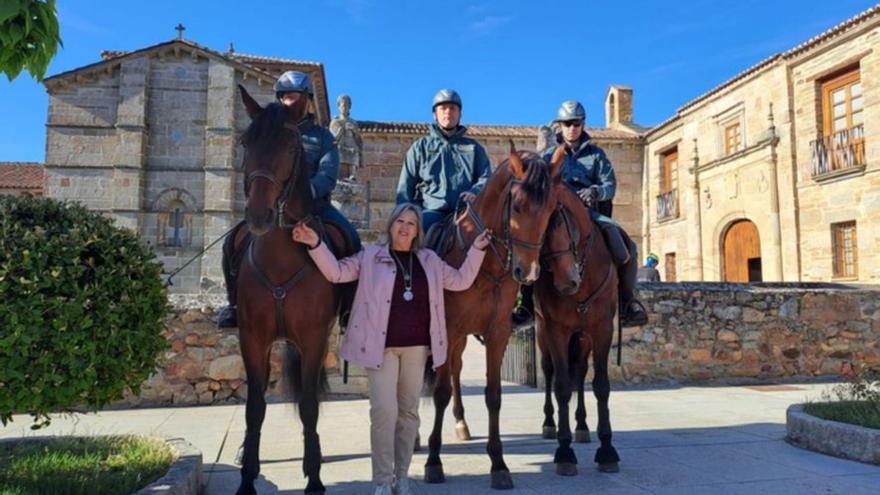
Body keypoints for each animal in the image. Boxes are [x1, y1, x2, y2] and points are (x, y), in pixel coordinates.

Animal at [234, 86, 350, 495]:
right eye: (245, 142)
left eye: (288, 145)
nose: (258, 216)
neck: (280, 258)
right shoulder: (252, 339)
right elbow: (254, 406)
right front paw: (247, 478)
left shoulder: (314, 339)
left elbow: (310, 406)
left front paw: (313, 476)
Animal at [424, 144, 564, 492]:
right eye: (518, 205)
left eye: (551, 209)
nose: (527, 272)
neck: (481, 263)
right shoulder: (447, 329)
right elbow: (440, 392)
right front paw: (433, 461)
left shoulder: (497, 332)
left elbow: (493, 395)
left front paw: (498, 464)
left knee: (457, 370)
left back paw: (461, 423)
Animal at [532, 185, 624, 476]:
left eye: (558, 222)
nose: (567, 282)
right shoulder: (556, 330)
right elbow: (561, 386)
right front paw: (564, 452)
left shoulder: (603, 329)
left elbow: (601, 385)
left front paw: (607, 450)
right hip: (543, 333)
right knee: (549, 370)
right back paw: (549, 424)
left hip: (583, 339)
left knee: (581, 372)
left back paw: (582, 427)